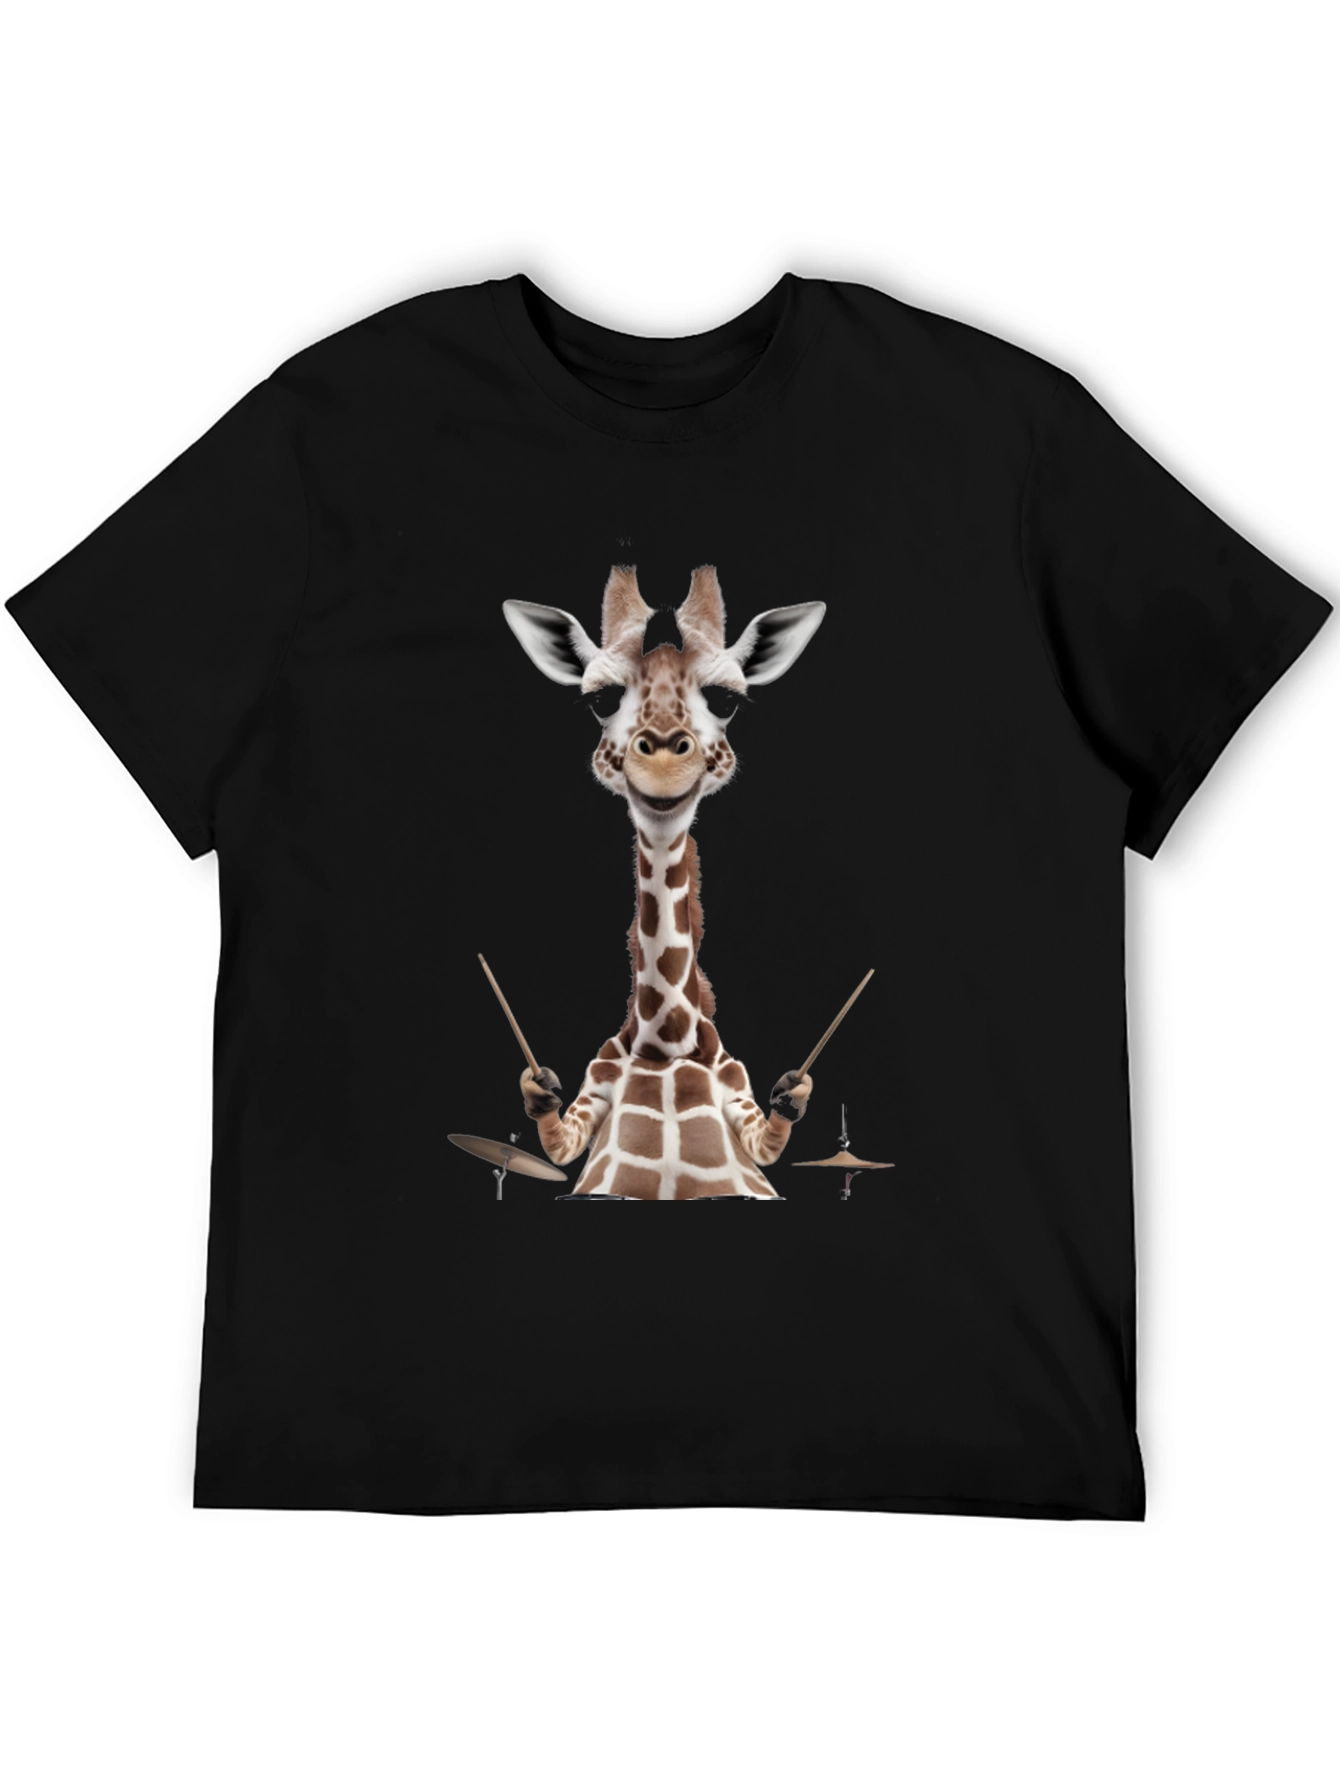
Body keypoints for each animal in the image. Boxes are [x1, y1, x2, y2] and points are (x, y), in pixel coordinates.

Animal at [502, 567, 825, 1200]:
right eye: (601, 698)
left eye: (726, 698)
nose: (662, 762)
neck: (667, 1044)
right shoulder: (593, 1093)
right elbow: (560, 1140)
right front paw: (536, 1087)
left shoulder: (738, 1095)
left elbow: (767, 1140)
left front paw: (794, 1092)